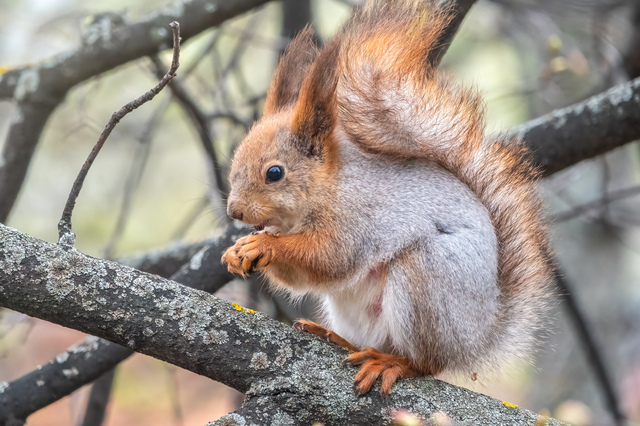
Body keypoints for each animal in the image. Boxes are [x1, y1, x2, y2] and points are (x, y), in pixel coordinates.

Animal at [220, 0, 552, 396]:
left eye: (274, 173)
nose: (234, 211)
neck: (329, 185)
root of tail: (477, 337)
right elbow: (299, 277)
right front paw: (237, 250)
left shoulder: (357, 217)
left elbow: (328, 258)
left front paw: (264, 246)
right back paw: (335, 337)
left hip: (427, 280)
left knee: (426, 362)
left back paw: (392, 362)